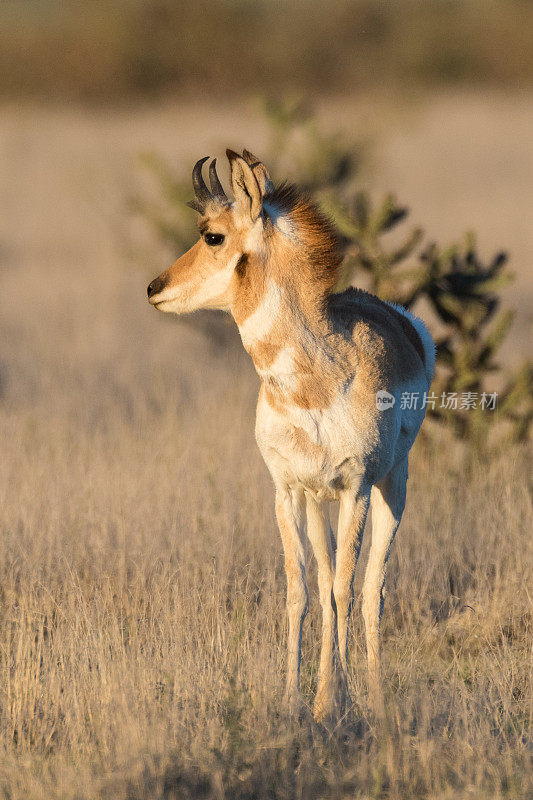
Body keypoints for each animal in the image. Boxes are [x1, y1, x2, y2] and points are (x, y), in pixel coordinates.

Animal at [147, 148, 432, 720]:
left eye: (213, 235)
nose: (154, 288)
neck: (314, 383)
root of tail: (403, 321)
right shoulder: (286, 491)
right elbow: (300, 591)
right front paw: (299, 700)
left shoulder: (355, 490)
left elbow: (345, 590)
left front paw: (337, 700)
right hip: (317, 503)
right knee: (325, 582)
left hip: (391, 488)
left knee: (372, 589)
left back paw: (375, 697)